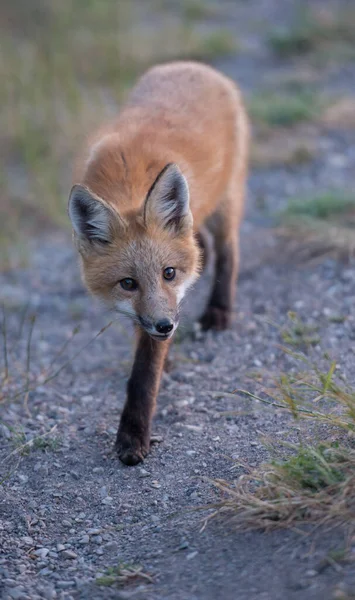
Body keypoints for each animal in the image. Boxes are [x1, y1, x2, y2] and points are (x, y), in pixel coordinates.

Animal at [68, 61, 249, 466]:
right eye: (128, 283)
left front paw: (133, 436)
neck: (130, 183)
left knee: (229, 252)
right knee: (204, 246)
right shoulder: (147, 313)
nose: (167, 326)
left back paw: (219, 310)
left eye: (169, 273)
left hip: (227, 201)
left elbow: (143, 375)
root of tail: (192, 65)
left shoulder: (164, 311)